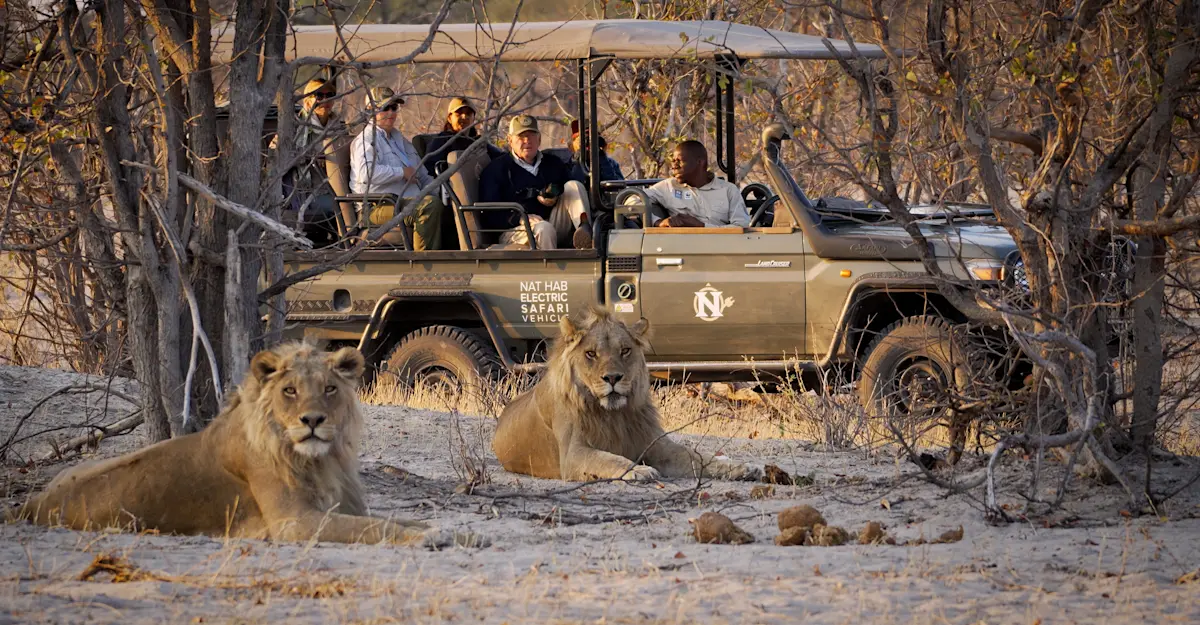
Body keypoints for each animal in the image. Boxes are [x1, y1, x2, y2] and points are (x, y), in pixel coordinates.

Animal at [9, 342, 484, 549]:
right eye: (290, 391)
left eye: (330, 388)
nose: (313, 421)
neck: (321, 461)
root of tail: (29, 505)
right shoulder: (295, 524)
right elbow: (376, 529)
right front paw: (430, 538)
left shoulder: (341, 508)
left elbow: (401, 519)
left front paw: (458, 533)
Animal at [492, 306, 761, 483]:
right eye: (591, 354)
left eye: (625, 350)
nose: (613, 378)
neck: (614, 415)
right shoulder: (572, 455)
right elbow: (608, 459)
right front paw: (639, 470)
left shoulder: (656, 445)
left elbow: (698, 457)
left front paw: (744, 468)